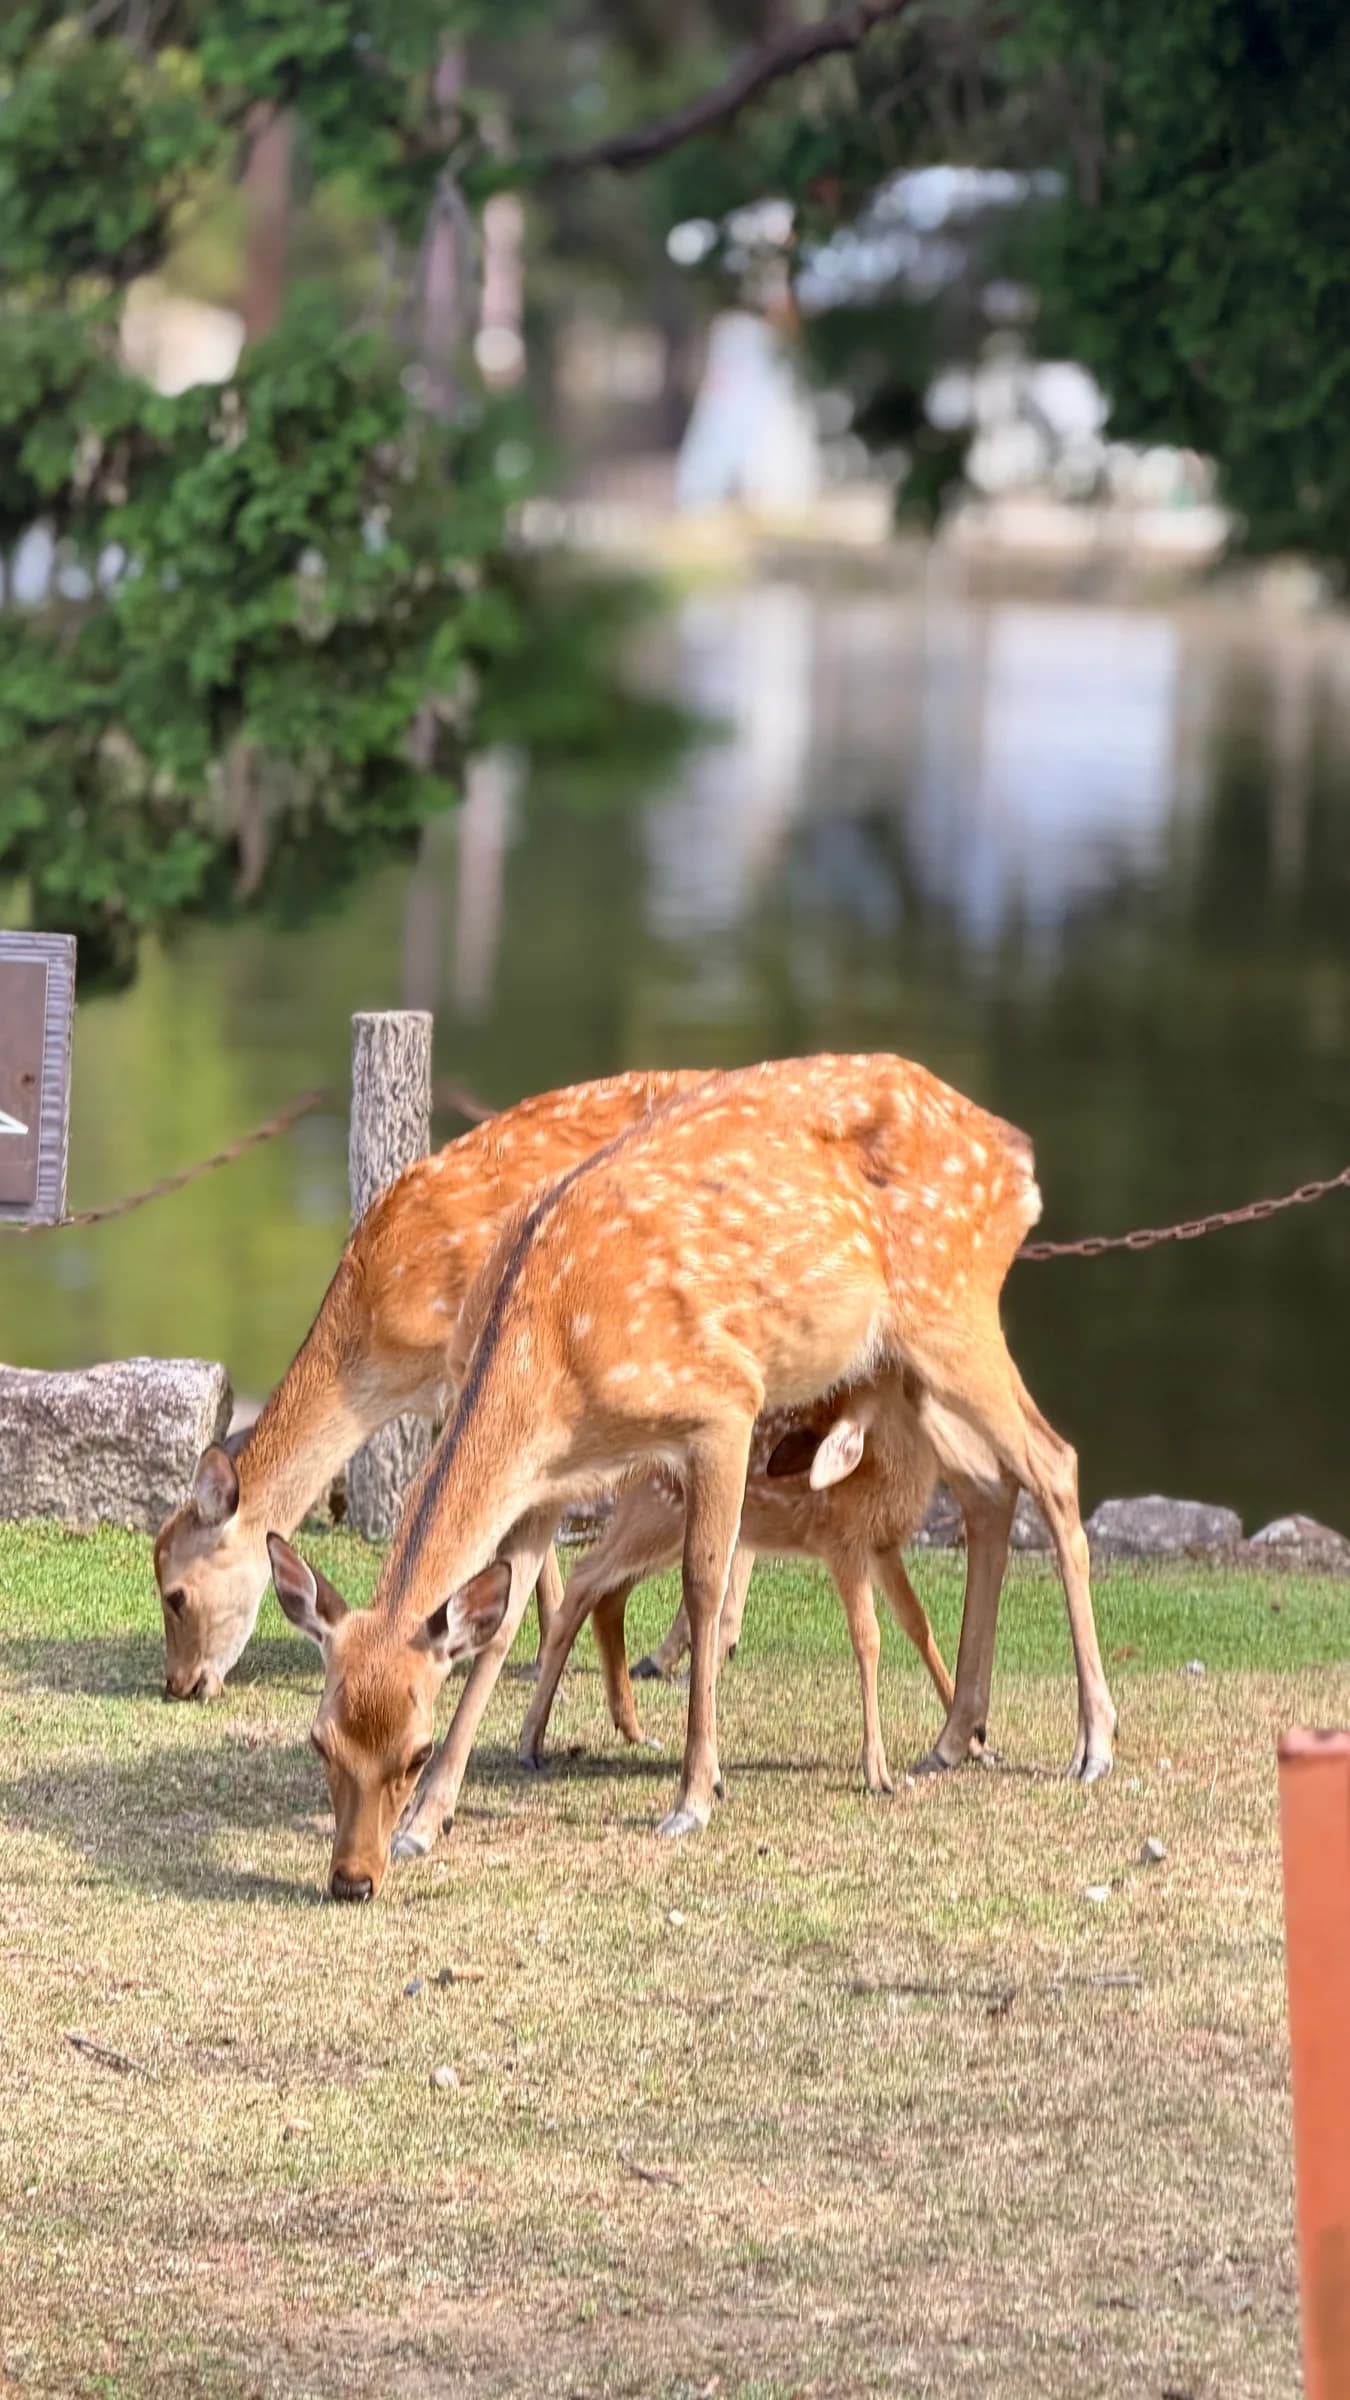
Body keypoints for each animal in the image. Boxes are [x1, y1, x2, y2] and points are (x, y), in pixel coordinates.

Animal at [515, 1363, 1019, 1800]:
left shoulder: (882, 1545)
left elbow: (919, 1624)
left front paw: (975, 1744)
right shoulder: (842, 1542)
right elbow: (868, 1638)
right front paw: (878, 1772)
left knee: (607, 1591)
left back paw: (631, 1729)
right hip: (657, 1511)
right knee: (586, 1578)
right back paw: (531, 1742)